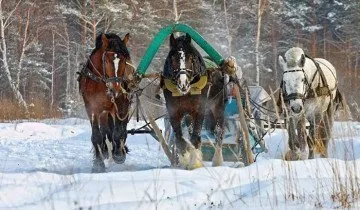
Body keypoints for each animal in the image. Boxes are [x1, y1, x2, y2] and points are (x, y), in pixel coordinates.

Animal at [78, 32, 136, 172]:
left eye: (124, 59)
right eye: (106, 60)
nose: (116, 88)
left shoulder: (120, 106)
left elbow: (118, 131)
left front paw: (118, 154)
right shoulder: (92, 108)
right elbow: (96, 135)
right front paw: (98, 164)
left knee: (119, 129)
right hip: (103, 112)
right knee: (105, 130)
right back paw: (104, 151)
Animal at [162, 34, 225, 169]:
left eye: (191, 58)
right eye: (172, 58)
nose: (183, 83)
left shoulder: (199, 110)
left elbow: (195, 138)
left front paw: (194, 162)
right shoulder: (174, 111)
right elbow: (180, 140)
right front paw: (185, 158)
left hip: (218, 105)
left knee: (219, 131)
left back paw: (217, 160)